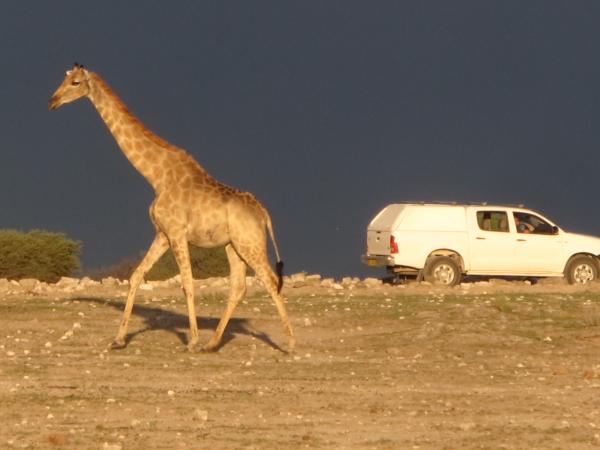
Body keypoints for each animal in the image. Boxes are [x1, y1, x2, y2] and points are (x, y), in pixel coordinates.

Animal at [48, 64, 296, 352]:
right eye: (64, 79)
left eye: (75, 83)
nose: (52, 101)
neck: (157, 177)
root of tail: (264, 214)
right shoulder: (162, 233)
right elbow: (136, 275)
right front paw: (118, 339)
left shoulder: (177, 232)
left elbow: (187, 282)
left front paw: (192, 340)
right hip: (233, 246)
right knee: (238, 286)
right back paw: (213, 343)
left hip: (250, 243)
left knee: (270, 279)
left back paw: (289, 343)